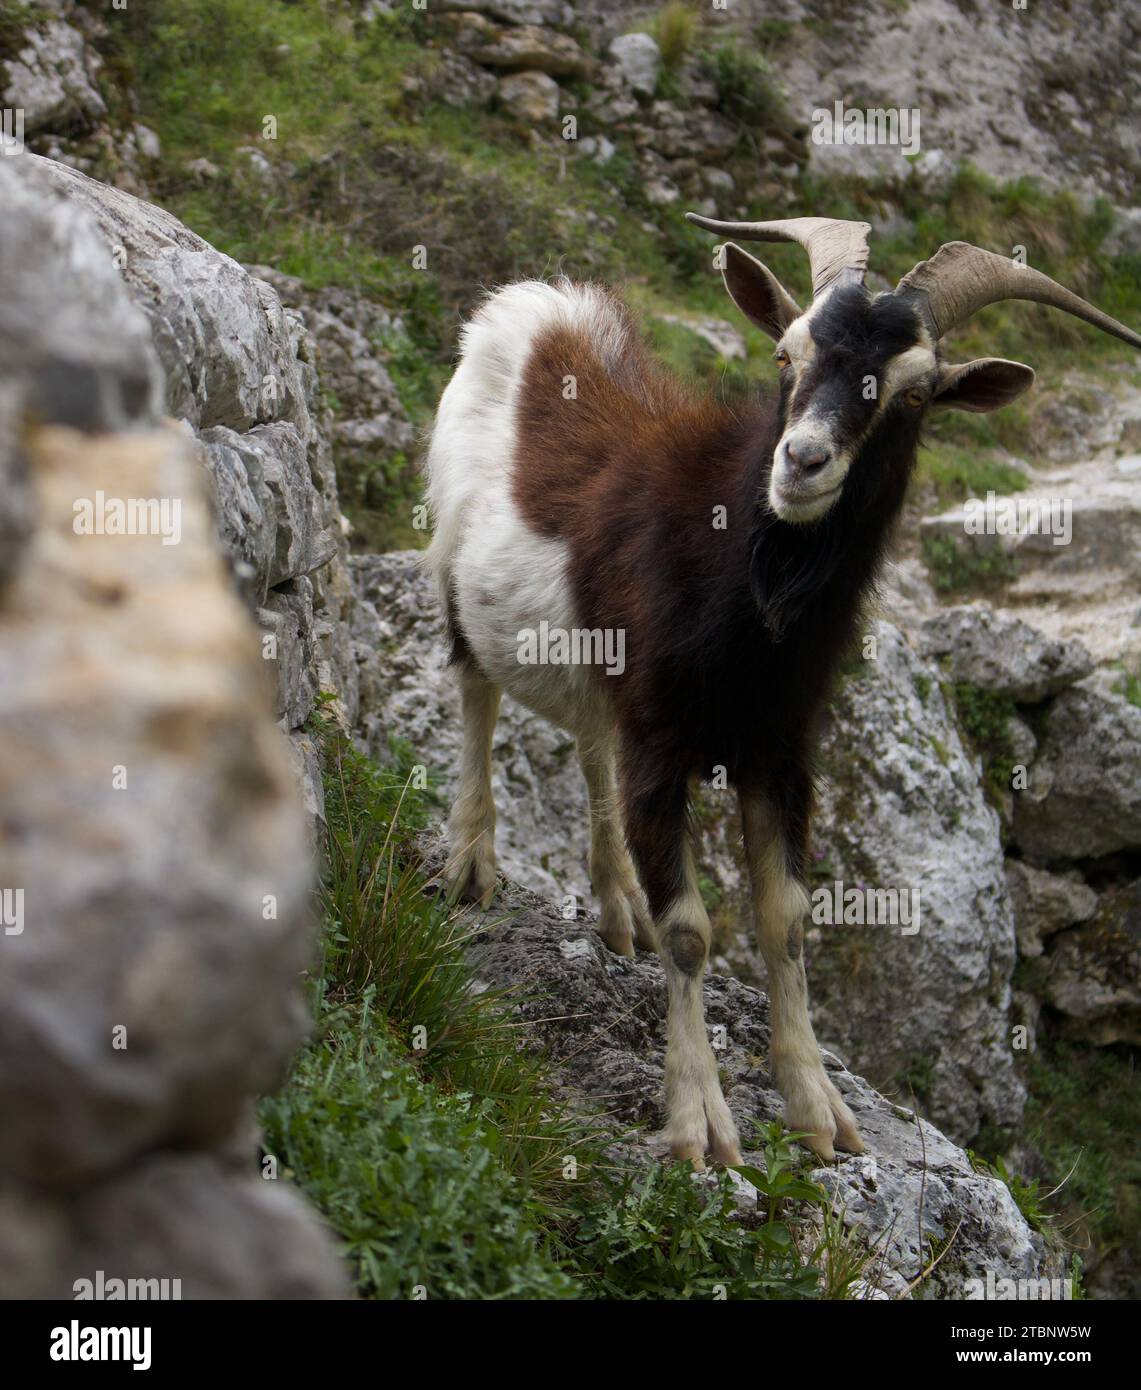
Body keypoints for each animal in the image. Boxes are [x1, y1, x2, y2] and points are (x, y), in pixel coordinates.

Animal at [419, 214, 1139, 1162]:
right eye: (786, 355)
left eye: (913, 394)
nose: (800, 461)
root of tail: (540, 299)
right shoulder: (662, 747)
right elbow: (692, 930)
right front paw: (698, 1120)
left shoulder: (782, 752)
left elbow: (785, 918)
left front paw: (816, 1107)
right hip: (453, 569)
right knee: (475, 690)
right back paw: (471, 862)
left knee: (590, 745)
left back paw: (618, 906)